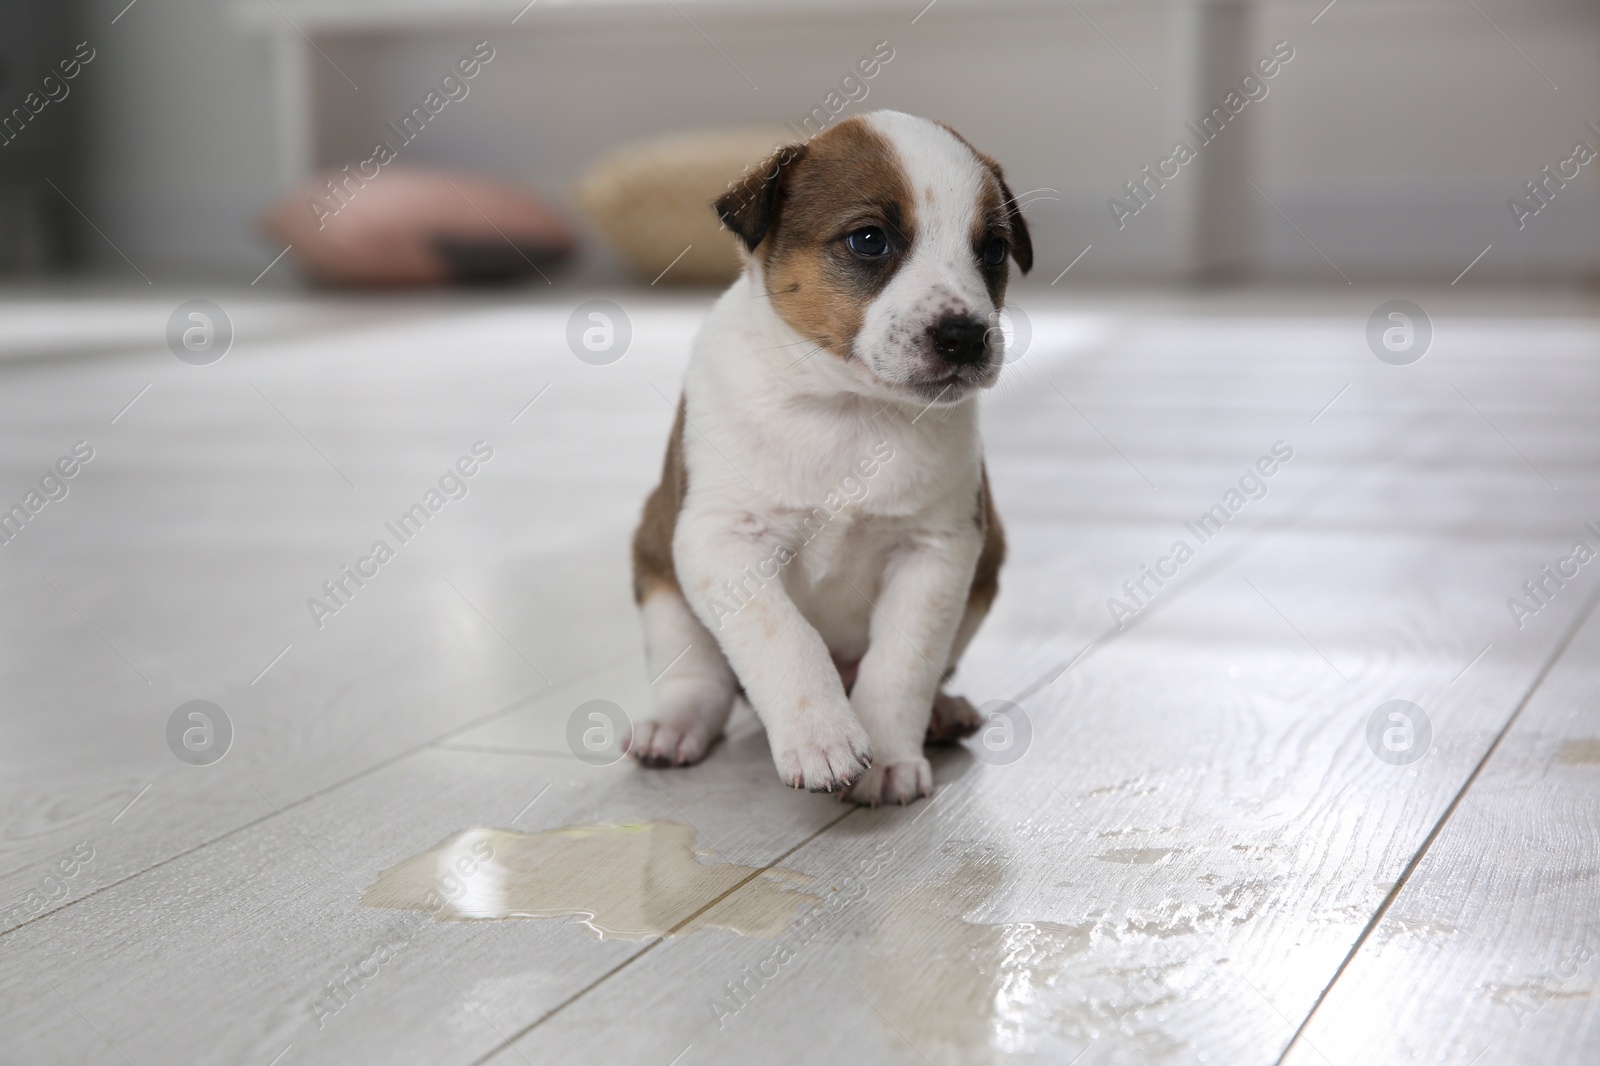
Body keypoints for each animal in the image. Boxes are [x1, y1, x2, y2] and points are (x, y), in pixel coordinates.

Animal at [624, 112, 1024, 800]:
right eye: (869, 240)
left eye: (993, 250)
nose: (966, 336)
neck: (848, 407)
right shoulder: (722, 541)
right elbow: (785, 636)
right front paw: (823, 738)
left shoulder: (936, 554)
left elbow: (901, 665)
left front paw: (887, 756)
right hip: (659, 569)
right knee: (701, 676)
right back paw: (675, 725)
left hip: (985, 571)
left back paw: (941, 712)